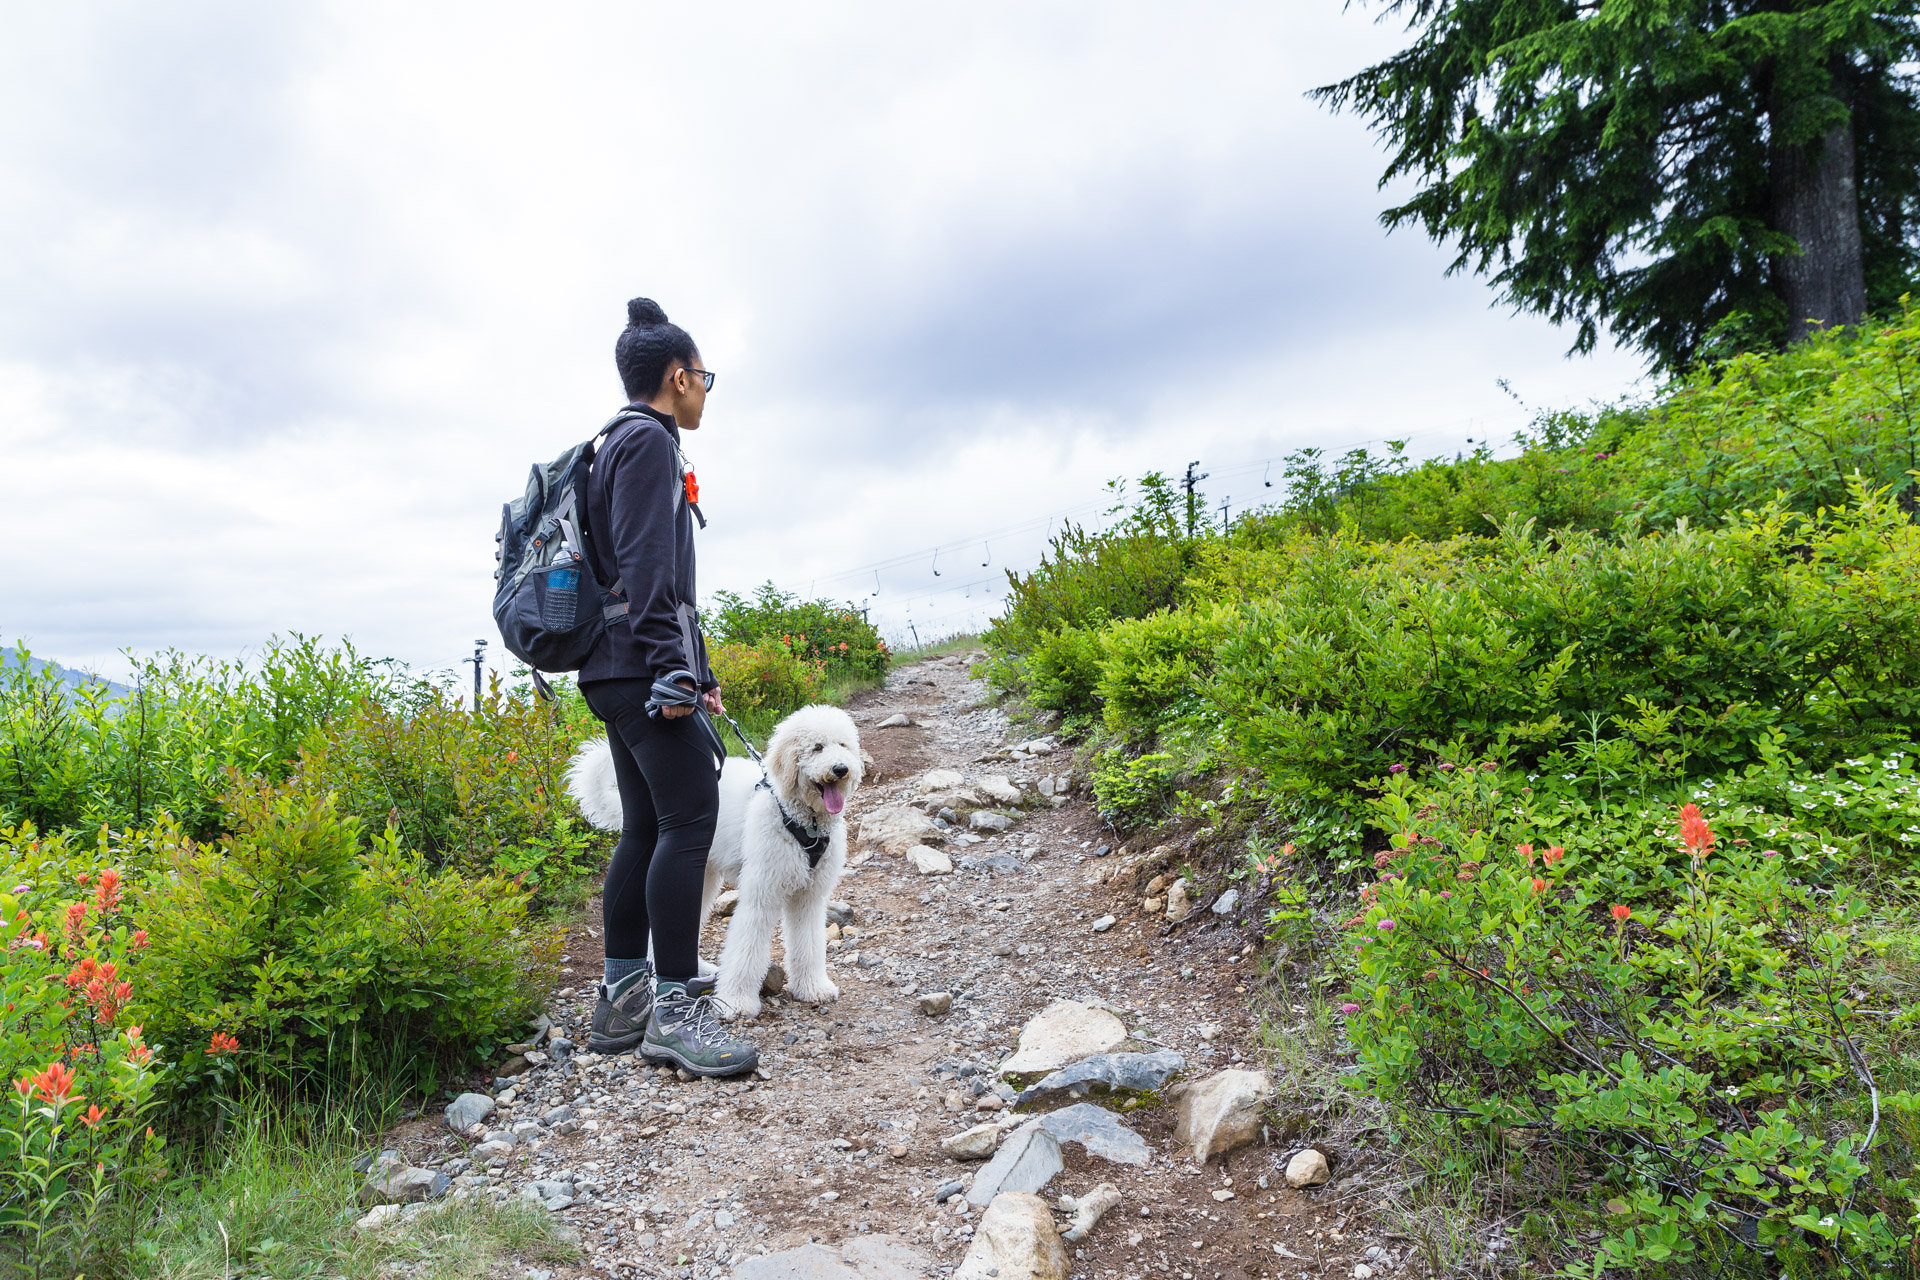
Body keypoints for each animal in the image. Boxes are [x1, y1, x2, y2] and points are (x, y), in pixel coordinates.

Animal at [560, 706, 864, 1013]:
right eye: (817, 747)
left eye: (843, 745)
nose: (841, 769)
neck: (802, 822)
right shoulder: (761, 894)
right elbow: (747, 949)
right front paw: (736, 1001)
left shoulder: (810, 897)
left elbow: (809, 943)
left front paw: (812, 987)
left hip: (701, 876)